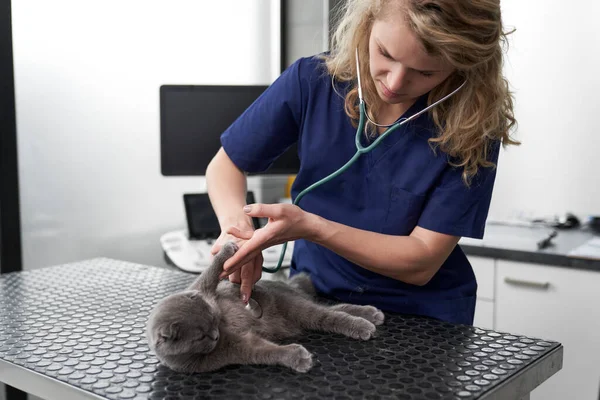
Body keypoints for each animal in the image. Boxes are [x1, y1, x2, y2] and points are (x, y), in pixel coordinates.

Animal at [148, 241, 386, 376]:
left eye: (214, 318)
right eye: (200, 337)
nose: (215, 335)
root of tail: (287, 287)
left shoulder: (201, 287)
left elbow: (212, 270)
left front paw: (227, 248)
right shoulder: (228, 351)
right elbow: (262, 351)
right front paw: (297, 357)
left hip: (295, 305)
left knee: (329, 313)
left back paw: (366, 319)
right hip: (298, 310)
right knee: (330, 311)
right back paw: (369, 317)